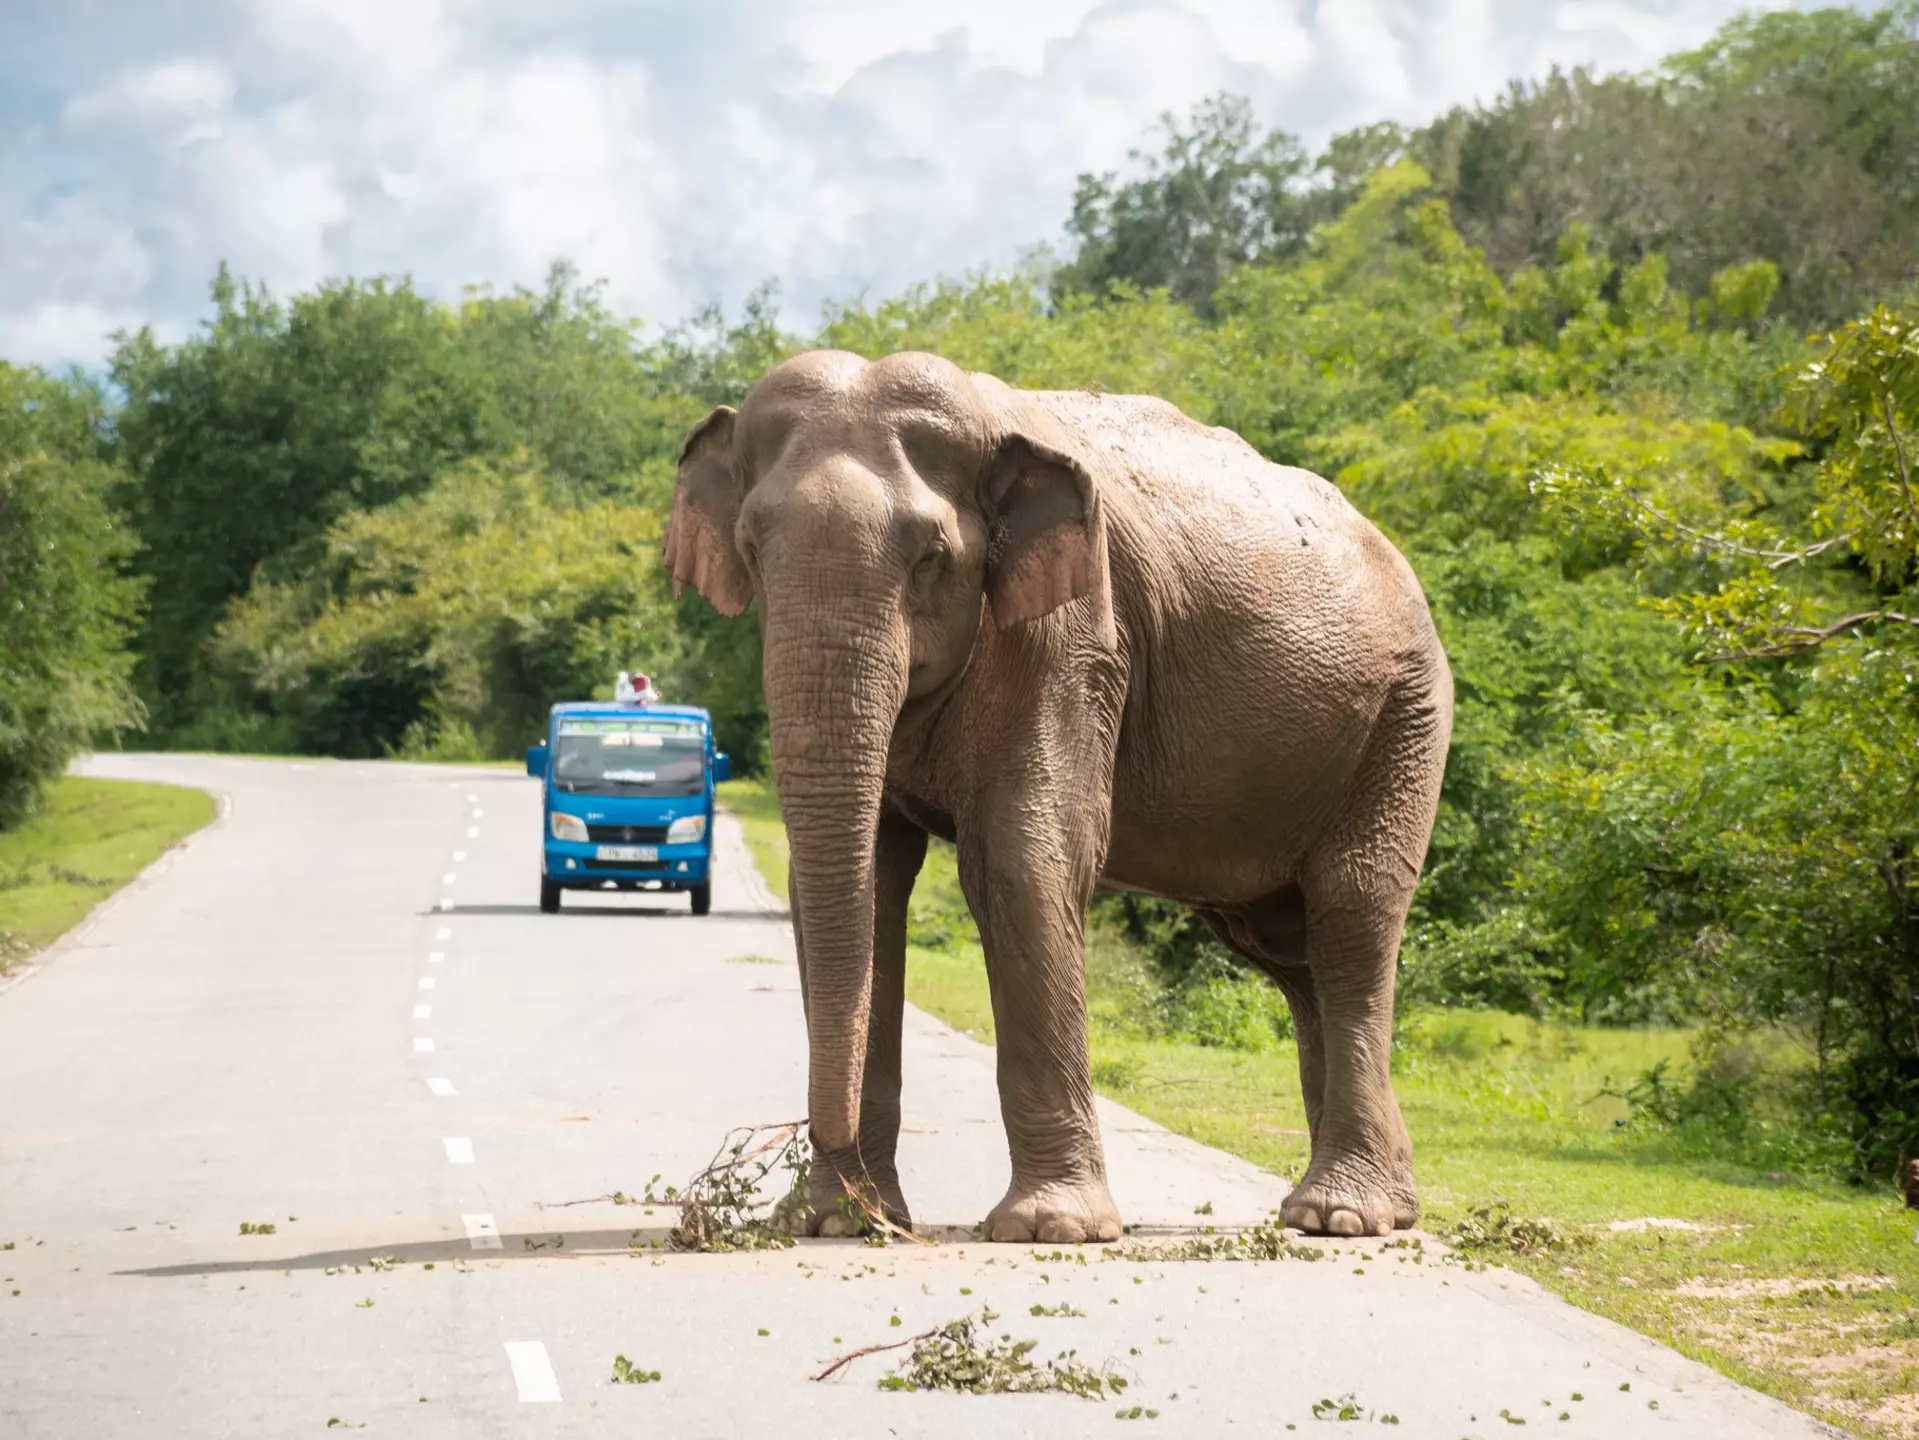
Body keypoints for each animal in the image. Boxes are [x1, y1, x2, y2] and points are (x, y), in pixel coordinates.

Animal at [663, 349, 1453, 1242]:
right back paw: (1370, 1206)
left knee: (1350, 912)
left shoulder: (1071, 641)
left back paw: (1339, 1216)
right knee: (1288, 947)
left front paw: (1052, 1230)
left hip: (1404, 716)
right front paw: (838, 1225)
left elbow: (1019, 863)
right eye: (750, 550)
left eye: (929, 557)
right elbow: (866, 882)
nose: (792, 1164)